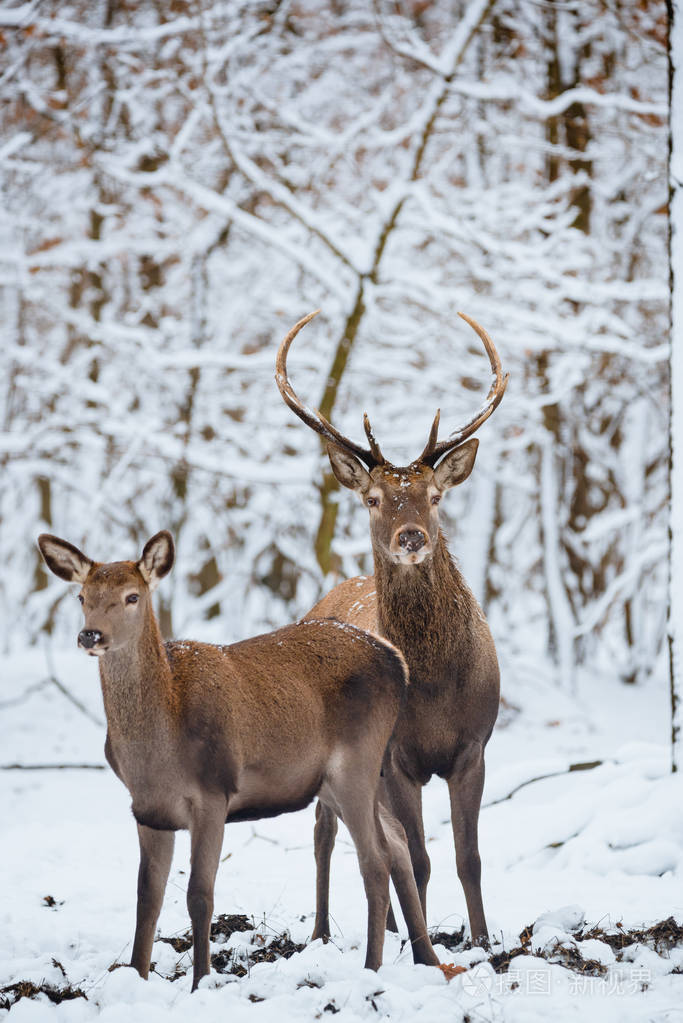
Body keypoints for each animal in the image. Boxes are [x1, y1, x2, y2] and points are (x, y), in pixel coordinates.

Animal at [37, 530, 441, 991]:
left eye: (132, 596)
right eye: (82, 596)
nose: (90, 636)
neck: (158, 747)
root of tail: (396, 659)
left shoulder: (213, 793)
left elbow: (199, 894)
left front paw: (200, 982)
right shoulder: (149, 810)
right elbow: (147, 897)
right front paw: (136, 977)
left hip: (356, 760)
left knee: (375, 859)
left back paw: (371, 968)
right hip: (339, 778)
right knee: (397, 841)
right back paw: (427, 958)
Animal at [276, 309, 508, 947]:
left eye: (434, 495)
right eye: (374, 498)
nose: (411, 537)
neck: (434, 686)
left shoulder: (473, 746)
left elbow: (468, 858)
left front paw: (482, 941)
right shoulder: (398, 758)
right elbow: (422, 858)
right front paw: (419, 942)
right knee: (325, 833)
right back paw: (323, 932)